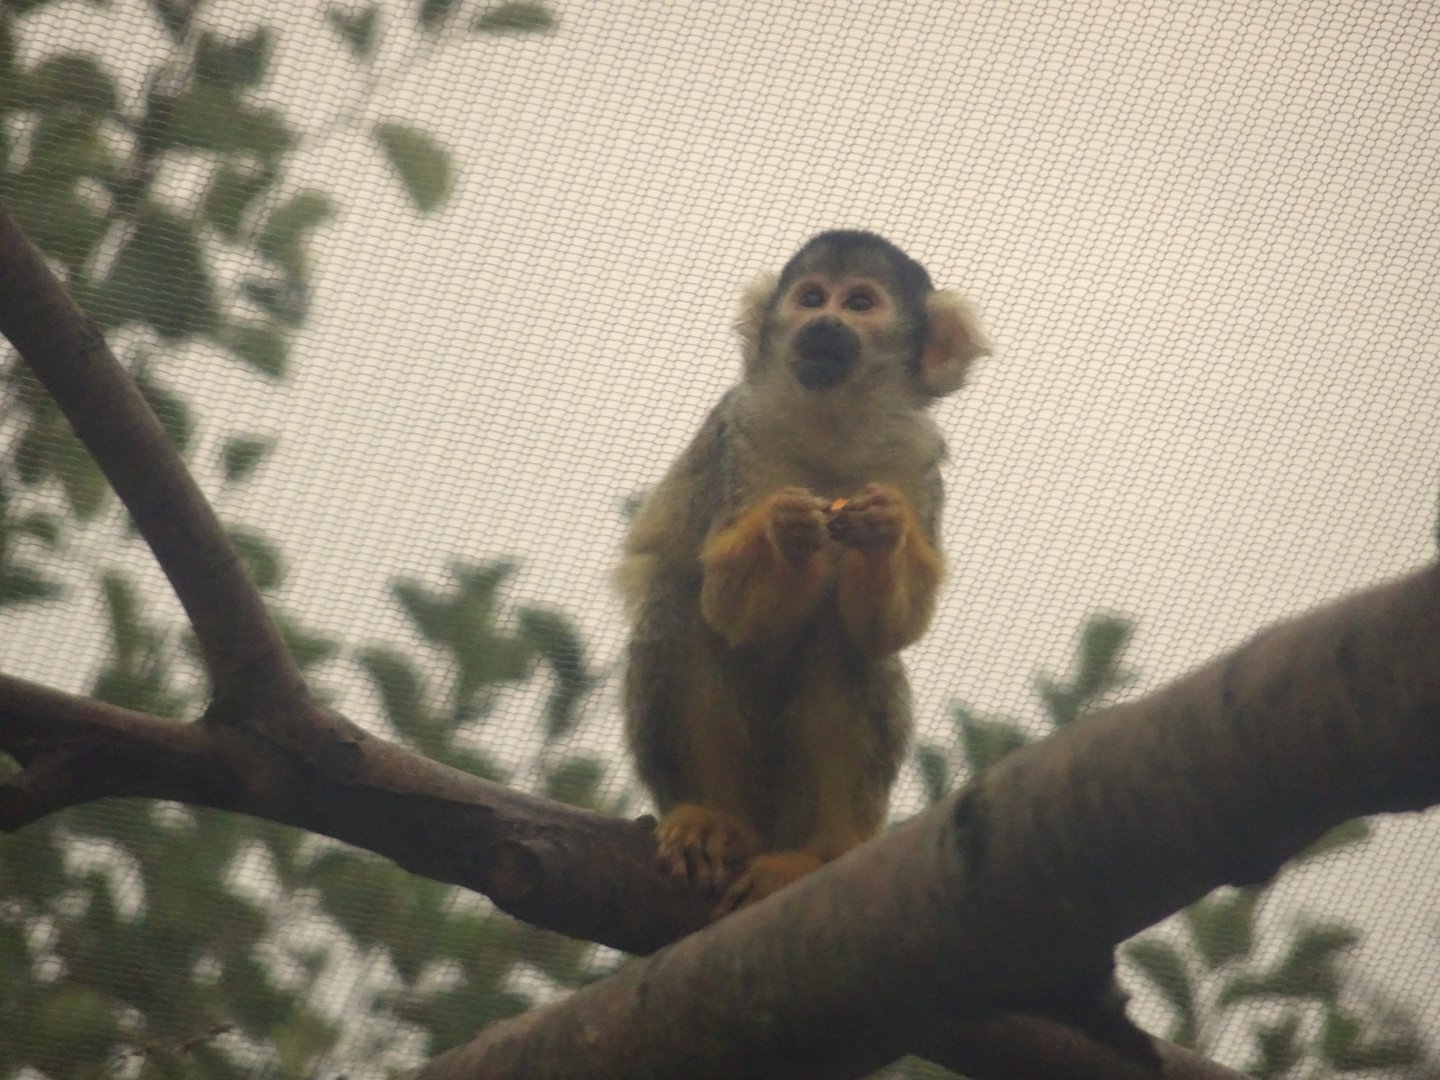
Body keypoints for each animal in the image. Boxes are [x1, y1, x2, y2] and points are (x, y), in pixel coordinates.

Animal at [616, 230, 991, 913]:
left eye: (860, 303)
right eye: (811, 297)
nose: (823, 323)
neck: (832, 422)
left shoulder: (915, 454)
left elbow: (887, 631)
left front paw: (884, 529)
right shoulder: (742, 430)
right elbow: (725, 606)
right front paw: (785, 527)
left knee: (845, 644)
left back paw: (811, 858)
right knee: (678, 604)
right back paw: (709, 819)